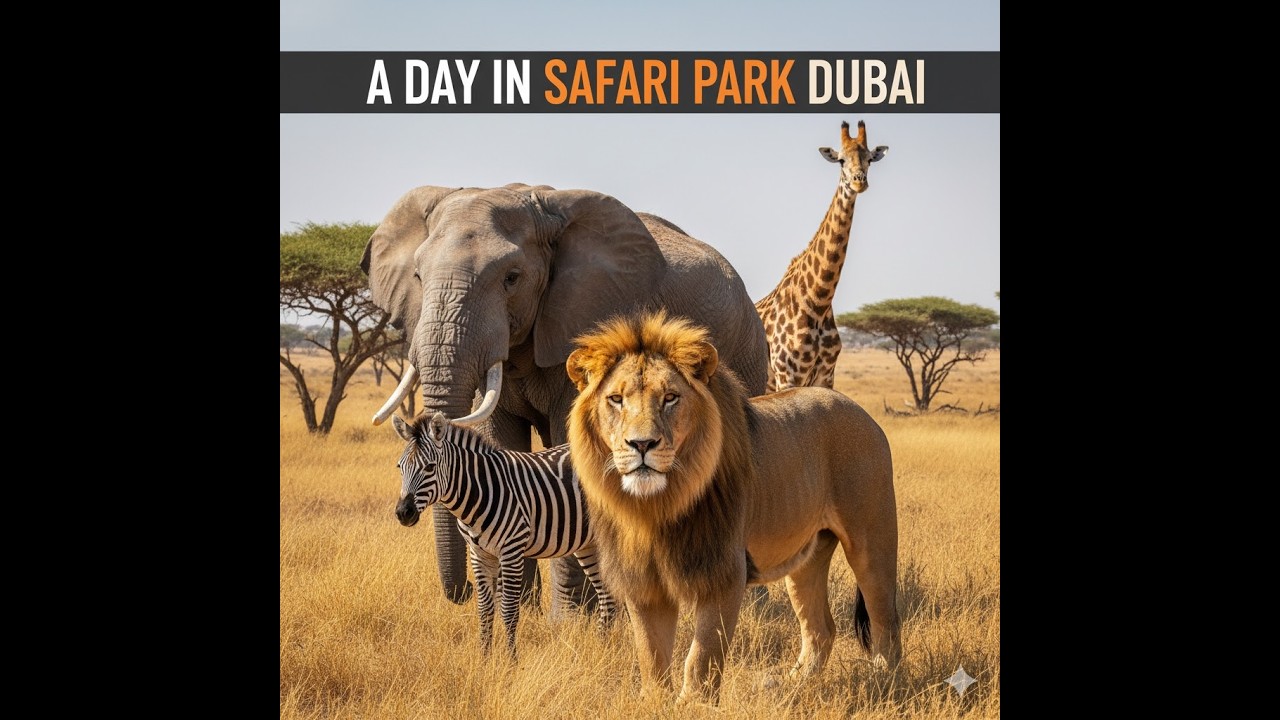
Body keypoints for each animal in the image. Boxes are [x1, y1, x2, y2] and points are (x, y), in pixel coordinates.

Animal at [565, 310, 900, 705]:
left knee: (885, 620)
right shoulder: (643, 581)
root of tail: (861, 411)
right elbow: (651, 654)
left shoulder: (724, 572)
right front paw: (655, 704)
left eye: (670, 398)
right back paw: (791, 686)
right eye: (616, 399)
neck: (656, 508)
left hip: (871, 541)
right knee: (821, 629)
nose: (642, 444)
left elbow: (702, 655)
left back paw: (884, 683)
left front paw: (694, 705)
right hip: (807, 557)